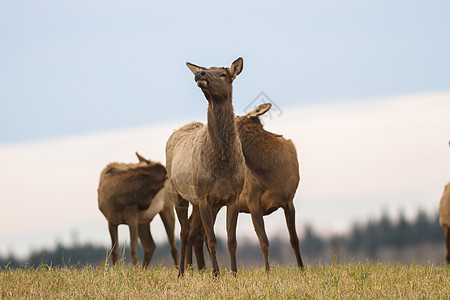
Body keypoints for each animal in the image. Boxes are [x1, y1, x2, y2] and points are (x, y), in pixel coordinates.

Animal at [165, 57, 244, 276]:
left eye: (224, 74)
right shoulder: (204, 197)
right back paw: (182, 273)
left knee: (193, 232)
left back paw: (194, 270)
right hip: (178, 194)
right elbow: (212, 240)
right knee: (184, 233)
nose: (200, 74)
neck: (223, 162)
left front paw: (234, 274)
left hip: (201, 203)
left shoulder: (233, 197)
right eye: (207, 69)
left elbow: (232, 240)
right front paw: (216, 275)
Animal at [186, 103, 306, 272]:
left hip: (213, 204)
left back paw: (201, 269)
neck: (273, 172)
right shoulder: (252, 199)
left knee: (199, 233)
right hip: (199, 201)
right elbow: (264, 241)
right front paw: (267, 272)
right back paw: (191, 270)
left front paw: (302, 269)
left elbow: (294, 239)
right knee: (192, 231)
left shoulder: (289, 201)